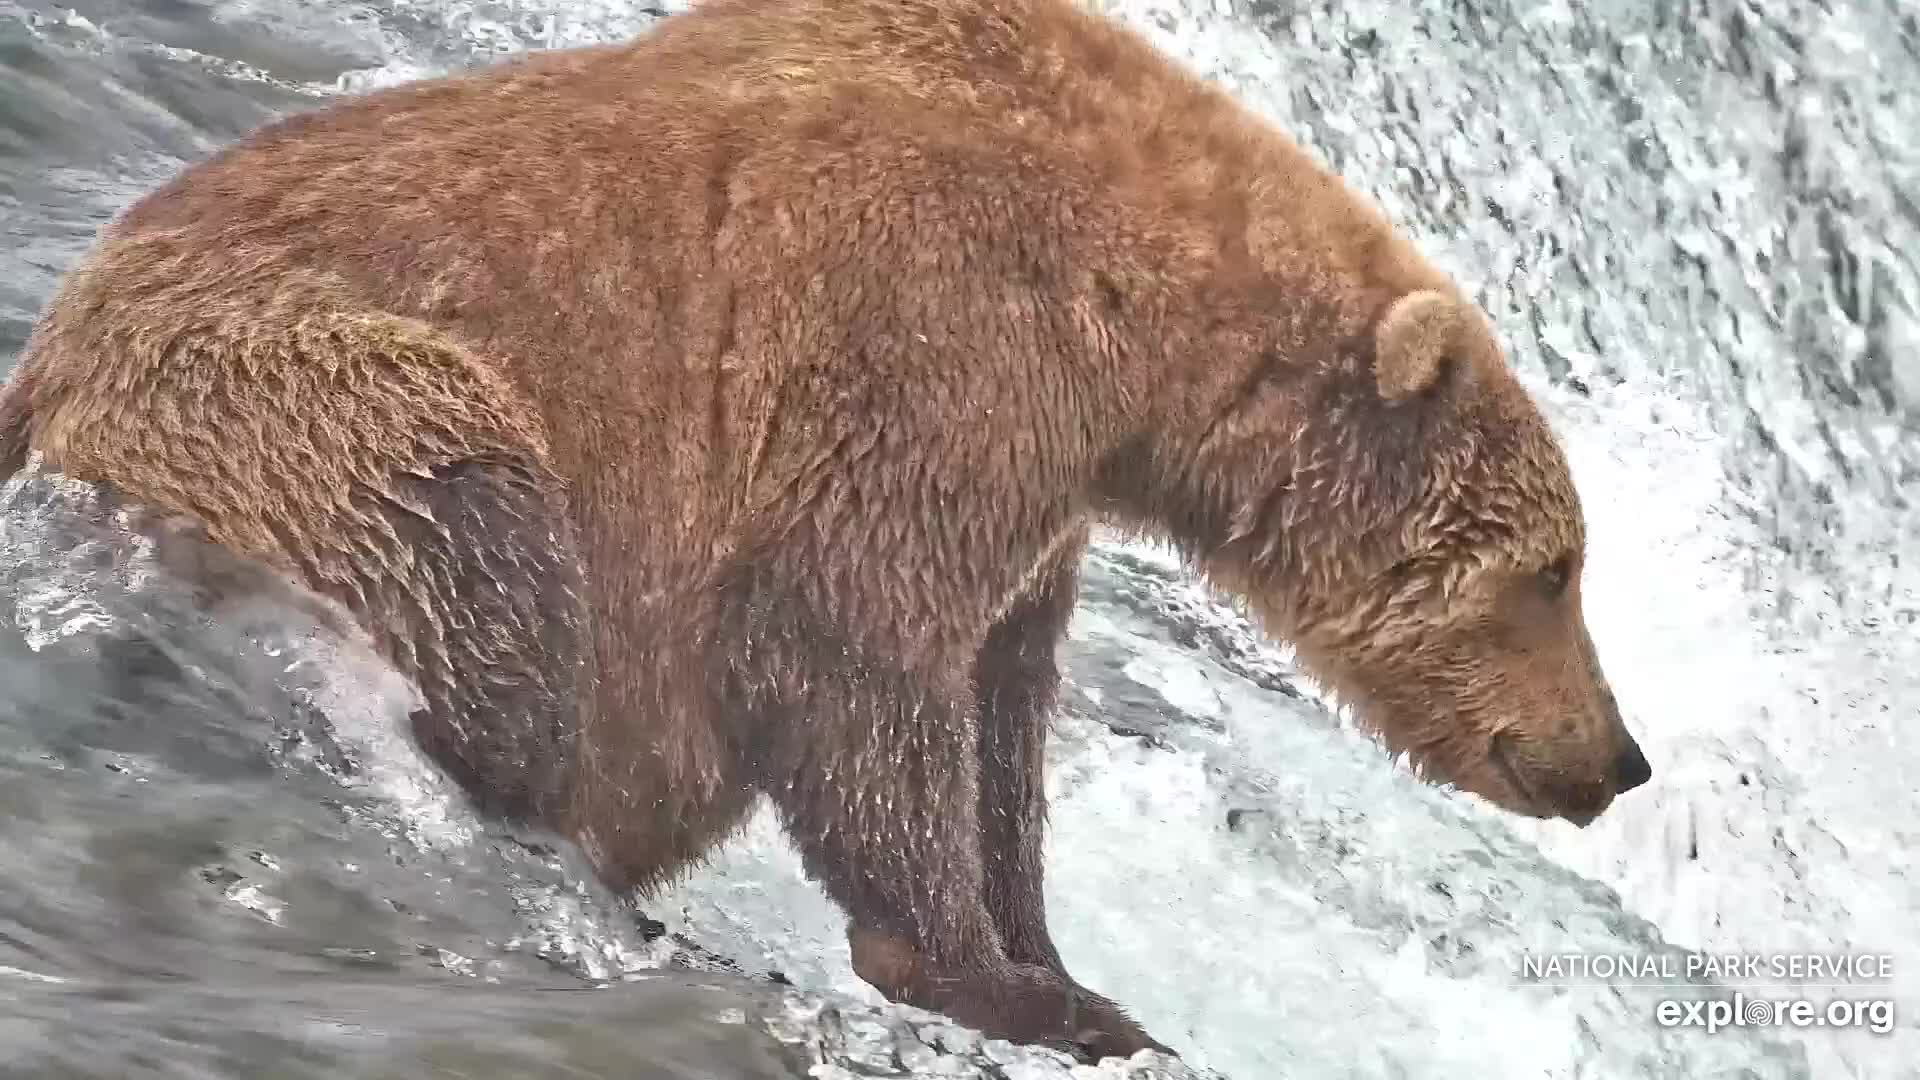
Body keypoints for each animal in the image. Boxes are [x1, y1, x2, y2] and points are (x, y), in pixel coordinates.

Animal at [0, 0, 1653, 1061]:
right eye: (1554, 571)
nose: (1616, 758)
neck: (1132, 343)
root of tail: (43, 371)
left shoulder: (1030, 492)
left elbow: (999, 714)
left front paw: (1045, 952)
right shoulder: (913, 349)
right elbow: (853, 654)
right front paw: (1012, 985)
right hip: (307, 397)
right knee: (470, 528)